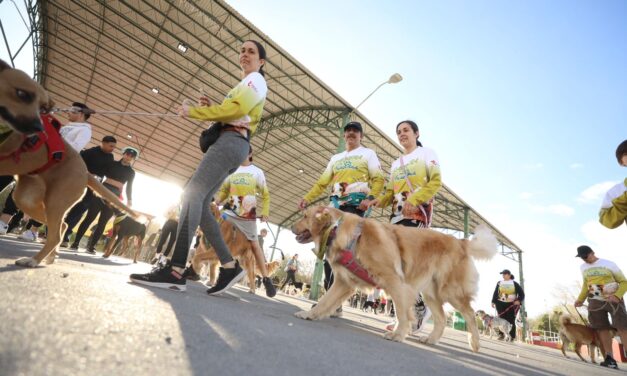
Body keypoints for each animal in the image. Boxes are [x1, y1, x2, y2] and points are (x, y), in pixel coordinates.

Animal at [0, 59, 137, 268]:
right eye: (22, 94)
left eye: (43, 108)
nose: (38, 128)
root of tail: (86, 172)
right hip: (27, 199)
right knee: (61, 225)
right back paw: (49, 256)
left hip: (55, 201)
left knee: (56, 234)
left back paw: (34, 259)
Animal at [292, 206, 498, 352]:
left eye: (304, 216)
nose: (292, 226)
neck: (337, 230)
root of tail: (461, 241)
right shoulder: (344, 283)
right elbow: (324, 301)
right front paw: (309, 314)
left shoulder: (394, 281)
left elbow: (401, 313)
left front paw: (398, 335)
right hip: (431, 293)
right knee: (441, 319)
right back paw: (431, 339)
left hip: (450, 291)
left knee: (470, 313)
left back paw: (474, 343)